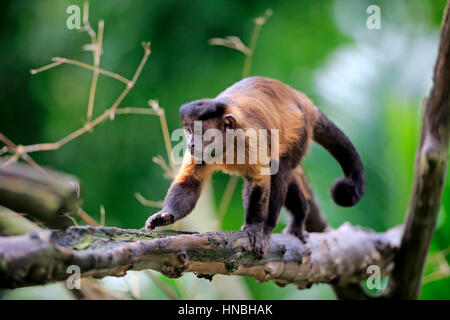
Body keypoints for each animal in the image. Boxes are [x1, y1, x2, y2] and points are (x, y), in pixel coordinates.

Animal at [144, 75, 366, 258]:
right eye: (189, 131)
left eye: (200, 132)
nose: (191, 143)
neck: (228, 144)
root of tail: (303, 100)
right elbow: (189, 184)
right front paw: (164, 216)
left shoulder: (250, 137)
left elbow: (261, 180)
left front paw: (256, 228)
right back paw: (300, 212)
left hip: (299, 128)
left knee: (281, 169)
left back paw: (272, 225)